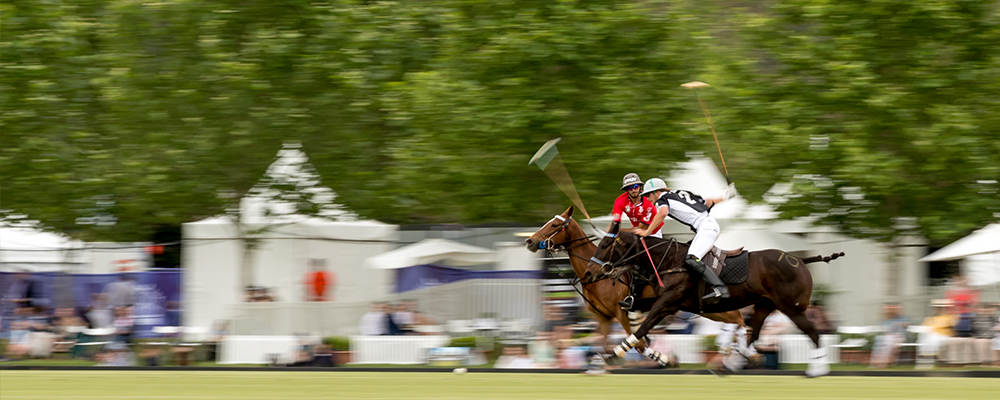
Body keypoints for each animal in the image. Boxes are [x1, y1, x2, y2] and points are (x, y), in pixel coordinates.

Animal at [524, 206, 752, 366]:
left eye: (554, 225)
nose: (529, 241)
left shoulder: (622, 312)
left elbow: (640, 343)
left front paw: (666, 359)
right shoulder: (603, 317)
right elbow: (605, 343)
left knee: (739, 320)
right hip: (709, 309)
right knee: (738, 320)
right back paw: (740, 352)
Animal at [588, 220, 840, 376]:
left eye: (605, 245)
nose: (590, 274)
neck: (669, 260)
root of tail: (800, 259)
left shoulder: (667, 304)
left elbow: (640, 329)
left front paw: (610, 357)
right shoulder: (665, 303)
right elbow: (634, 318)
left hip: (791, 307)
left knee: (813, 333)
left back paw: (815, 371)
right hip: (764, 304)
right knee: (753, 333)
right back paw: (731, 364)